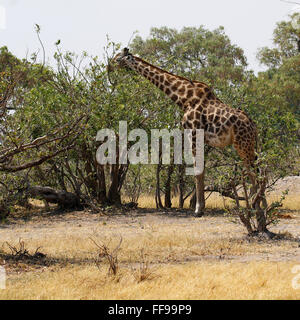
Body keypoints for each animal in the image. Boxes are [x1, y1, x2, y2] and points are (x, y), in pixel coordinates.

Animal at [110, 47, 258, 216]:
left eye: (118, 58)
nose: (109, 67)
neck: (183, 98)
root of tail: (253, 125)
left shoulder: (193, 133)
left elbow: (197, 170)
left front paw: (198, 209)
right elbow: (201, 168)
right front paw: (200, 207)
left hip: (242, 143)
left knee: (253, 169)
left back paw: (255, 206)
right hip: (247, 144)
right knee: (255, 167)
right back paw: (257, 204)